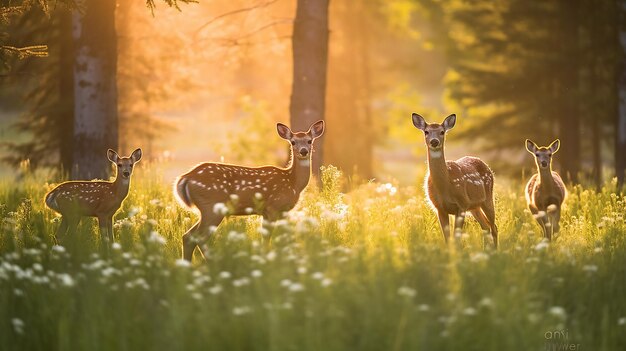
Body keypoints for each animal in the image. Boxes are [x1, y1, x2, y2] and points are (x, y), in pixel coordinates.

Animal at [174, 121, 324, 262]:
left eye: (309, 140)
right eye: (293, 142)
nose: (304, 151)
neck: (293, 183)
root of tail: (186, 177)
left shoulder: (278, 211)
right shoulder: (273, 207)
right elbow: (267, 238)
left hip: (206, 210)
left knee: (188, 236)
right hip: (211, 206)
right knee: (198, 237)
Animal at [410, 114, 498, 249]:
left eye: (442, 132)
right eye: (426, 132)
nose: (434, 141)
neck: (446, 186)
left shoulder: (461, 204)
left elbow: (456, 238)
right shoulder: (439, 208)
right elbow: (447, 239)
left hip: (487, 197)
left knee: (494, 227)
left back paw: (496, 251)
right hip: (474, 207)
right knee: (486, 226)